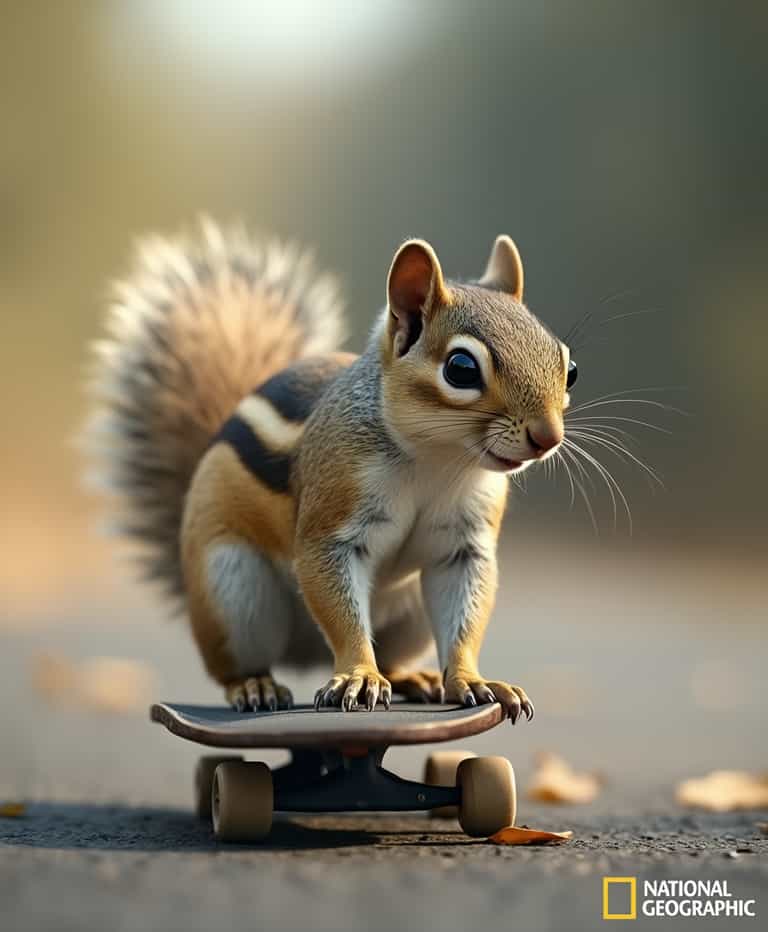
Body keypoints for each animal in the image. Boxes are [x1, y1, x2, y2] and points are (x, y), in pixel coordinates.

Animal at [87, 219, 577, 721]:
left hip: (408, 617)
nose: (548, 437)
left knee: (393, 654)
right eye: (461, 368)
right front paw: (359, 676)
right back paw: (255, 685)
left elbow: (465, 620)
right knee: (235, 665)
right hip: (232, 587)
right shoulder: (334, 520)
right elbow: (339, 606)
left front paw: (473, 680)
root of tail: (307, 653)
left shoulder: (463, 548)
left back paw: (413, 678)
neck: (437, 462)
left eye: (569, 367)